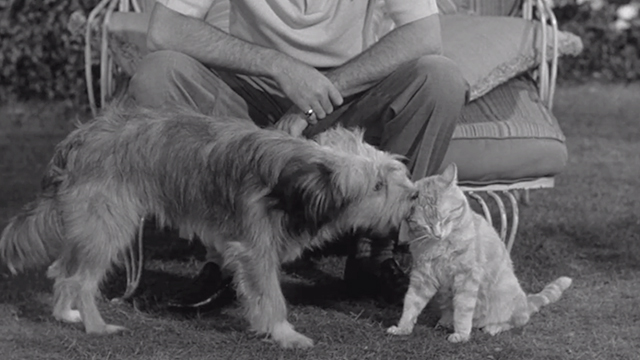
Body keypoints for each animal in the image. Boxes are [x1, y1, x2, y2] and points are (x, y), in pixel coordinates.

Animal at [0, 105, 418, 348]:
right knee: (80, 280)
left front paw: (265, 327)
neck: (294, 182)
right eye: (377, 186)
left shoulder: (251, 252)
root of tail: (77, 139)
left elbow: (257, 294)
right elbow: (273, 296)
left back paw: (65, 315)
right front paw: (286, 335)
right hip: (108, 226)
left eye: (390, 171)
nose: (414, 195)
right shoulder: (255, 249)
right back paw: (97, 328)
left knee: (61, 270)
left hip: (90, 228)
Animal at [388, 164, 572, 344]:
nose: (438, 234)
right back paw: (446, 321)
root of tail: (525, 302)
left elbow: (463, 309)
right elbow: (411, 303)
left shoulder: (466, 276)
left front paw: (461, 335)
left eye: (445, 219)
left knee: (516, 321)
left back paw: (493, 327)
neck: (441, 244)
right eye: (426, 226)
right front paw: (402, 328)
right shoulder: (423, 276)